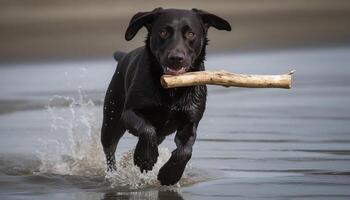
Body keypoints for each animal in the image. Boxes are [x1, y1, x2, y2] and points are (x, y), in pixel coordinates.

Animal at [101, 7, 231, 186]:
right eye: (163, 32)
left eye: (190, 34)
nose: (176, 58)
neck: (171, 90)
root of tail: (124, 57)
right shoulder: (129, 113)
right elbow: (147, 130)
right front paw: (145, 158)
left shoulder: (190, 123)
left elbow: (185, 150)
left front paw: (170, 174)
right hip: (111, 121)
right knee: (110, 151)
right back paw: (114, 172)